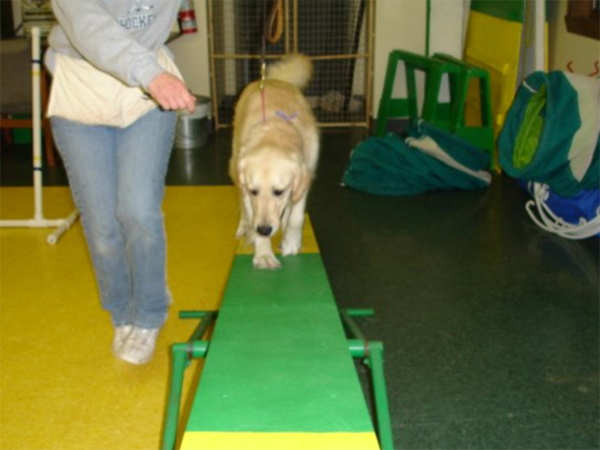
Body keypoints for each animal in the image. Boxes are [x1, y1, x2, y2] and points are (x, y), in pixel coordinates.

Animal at [230, 54, 322, 268]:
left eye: (279, 191)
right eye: (254, 191)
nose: (264, 229)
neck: (273, 131)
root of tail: (272, 80)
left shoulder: (305, 176)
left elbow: (297, 216)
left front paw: (291, 242)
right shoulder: (247, 191)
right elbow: (251, 212)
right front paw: (264, 254)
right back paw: (244, 226)